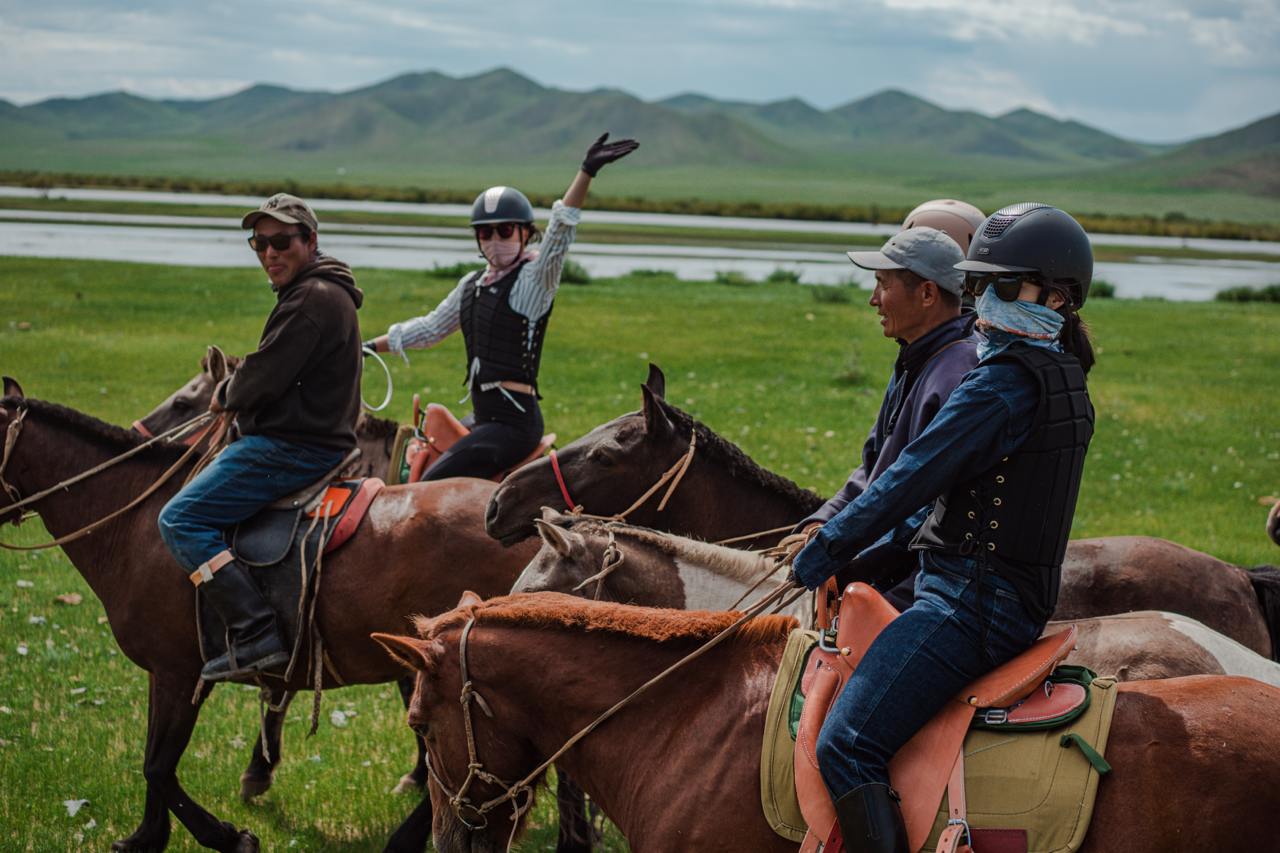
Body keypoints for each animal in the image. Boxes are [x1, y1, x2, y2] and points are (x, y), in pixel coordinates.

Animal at [0, 390, 540, 852]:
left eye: (185, 401)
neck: (135, 525)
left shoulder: (180, 674)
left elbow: (159, 765)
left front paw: (226, 836)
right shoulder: (164, 674)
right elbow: (156, 758)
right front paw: (146, 838)